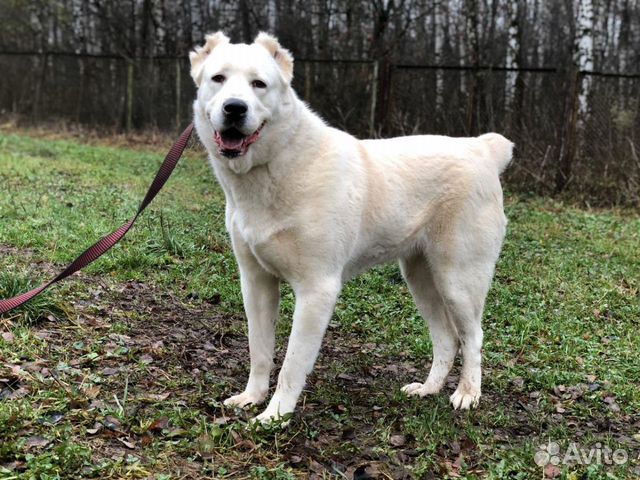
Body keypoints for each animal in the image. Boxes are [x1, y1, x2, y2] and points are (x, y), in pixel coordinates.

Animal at [190, 31, 516, 422]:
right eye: (218, 79)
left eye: (259, 84)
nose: (235, 108)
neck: (279, 163)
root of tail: (483, 150)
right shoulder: (256, 283)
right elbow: (260, 351)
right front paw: (252, 397)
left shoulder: (317, 290)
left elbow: (291, 364)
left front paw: (276, 415)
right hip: (420, 278)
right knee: (447, 338)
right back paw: (428, 389)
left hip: (458, 281)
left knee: (473, 337)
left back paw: (467, 393)